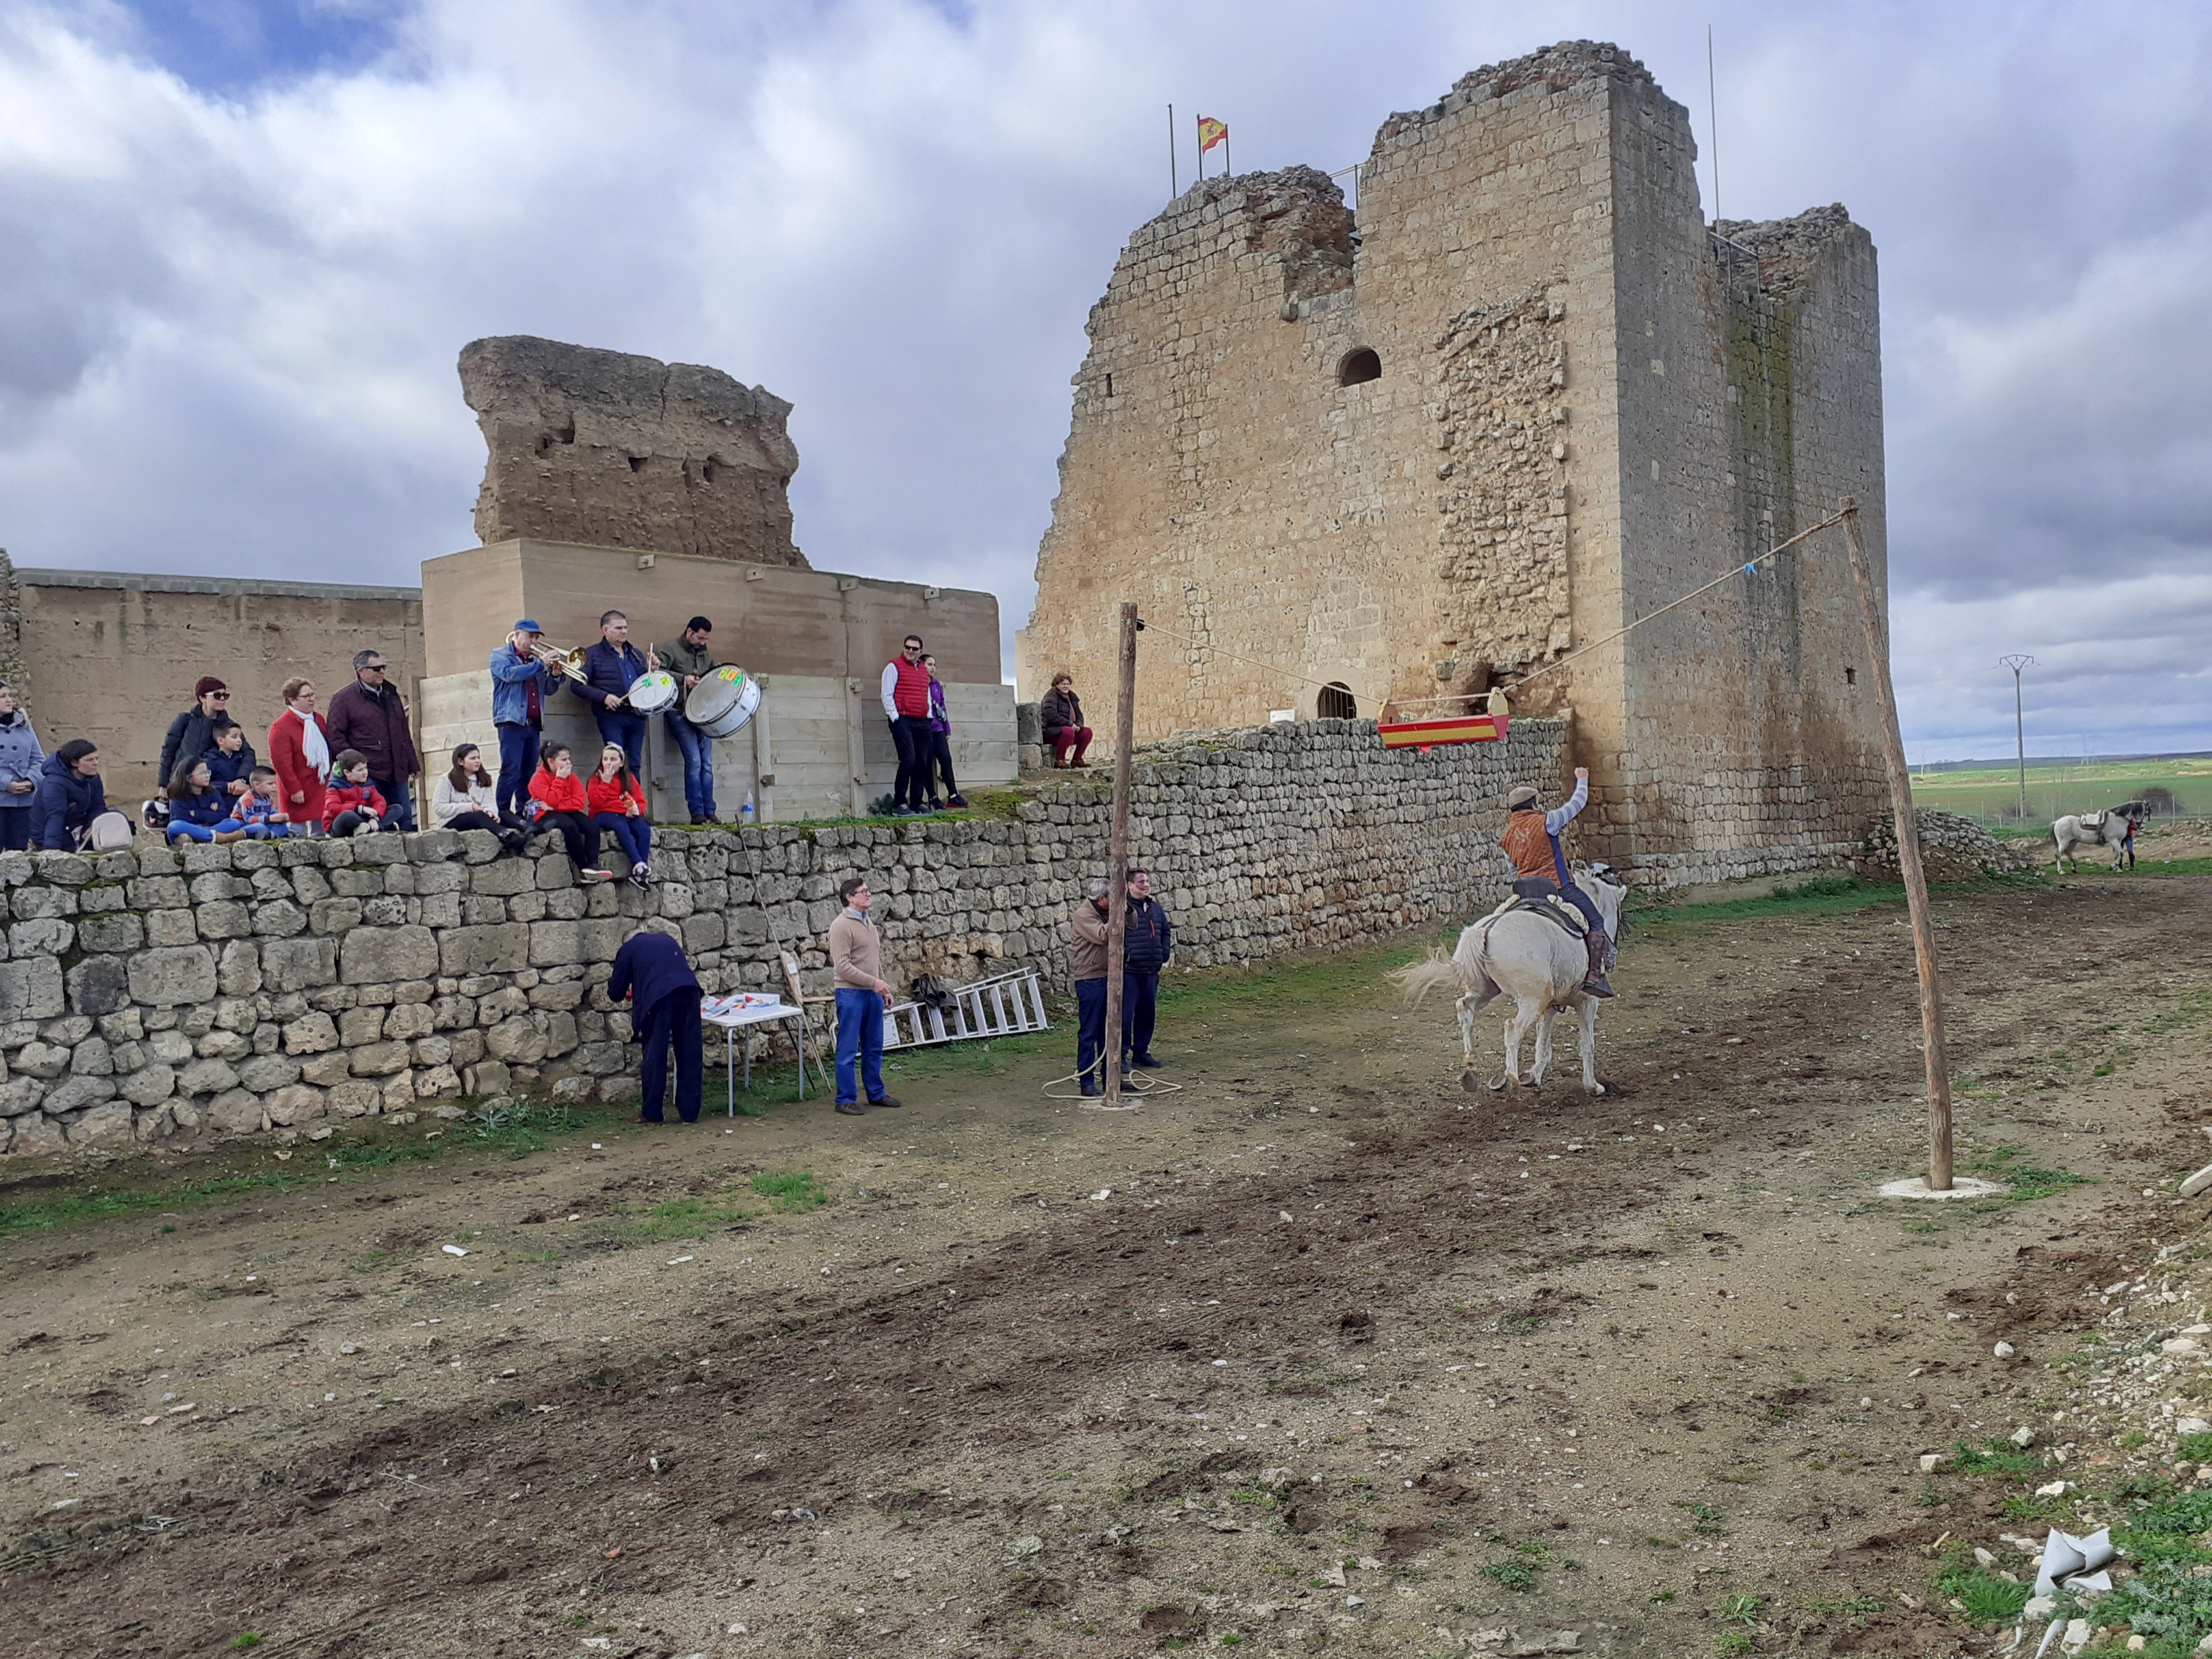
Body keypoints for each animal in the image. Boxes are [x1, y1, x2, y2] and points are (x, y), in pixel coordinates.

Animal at [1391, 863, 1629, 1095]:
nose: (1612, 956)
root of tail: (1487, 929)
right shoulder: (1587, 1002)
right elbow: (1587, 1045)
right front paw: (1592, 1086)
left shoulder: (1551, 1006)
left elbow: (1544, 1044)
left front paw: (1534, 1075)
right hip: (1532, 999)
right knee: (1512, 1029)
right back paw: (1511, 1078)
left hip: (1487, 992)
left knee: (1465, 1009)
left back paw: (1471, 1070)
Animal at [2053, 802, 2145, 873]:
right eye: (2142, 813)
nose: (2141, 827)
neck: (2118, 820)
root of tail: (2057, 822)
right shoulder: (2114, 840)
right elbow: (2121, 853)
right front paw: (2112, 866)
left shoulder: (2117, 840)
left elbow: (2117, 854)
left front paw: (2117, 868)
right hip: (2063, 842)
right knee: (2059, 854)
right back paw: (2061, 871)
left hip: (2073, 841)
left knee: (2068, 852)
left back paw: (2074, 868)